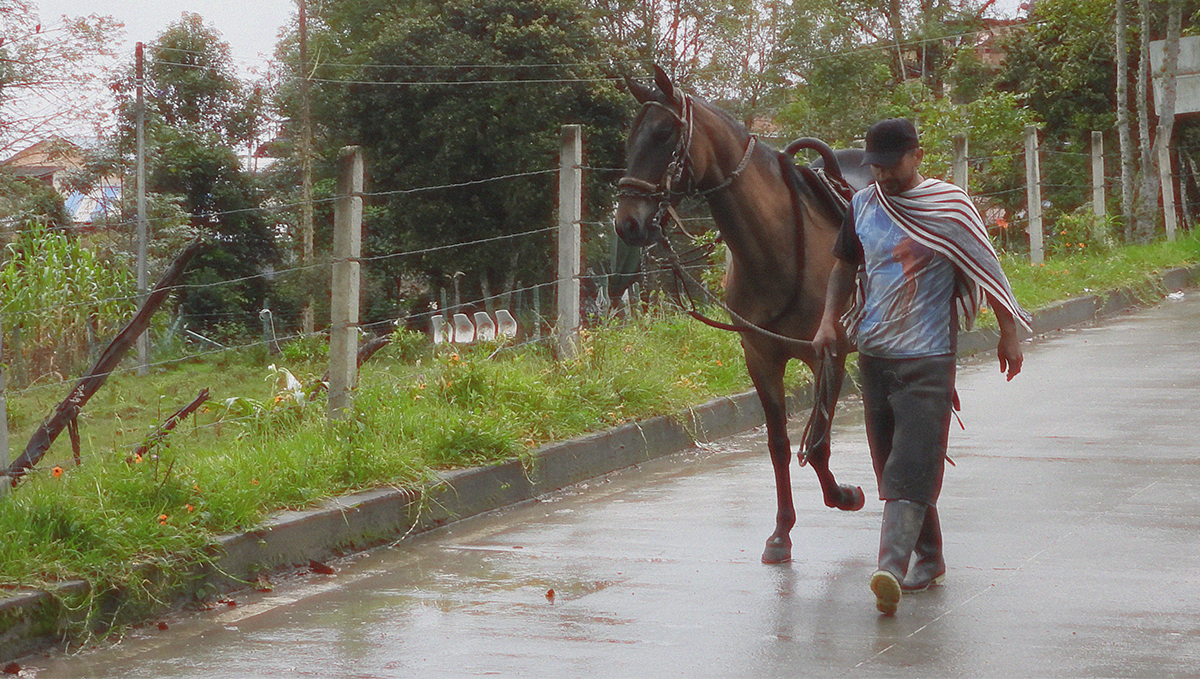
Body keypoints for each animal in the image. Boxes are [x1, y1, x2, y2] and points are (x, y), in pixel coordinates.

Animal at [614, 65, 866, 564]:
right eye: (631, 137)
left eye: (665, 133)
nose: (627, 221)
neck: (781, 248)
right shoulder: (761, 359)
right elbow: (780, 444)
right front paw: (781, 532)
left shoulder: (826, 355)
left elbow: (819, 443)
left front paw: (844, 495)